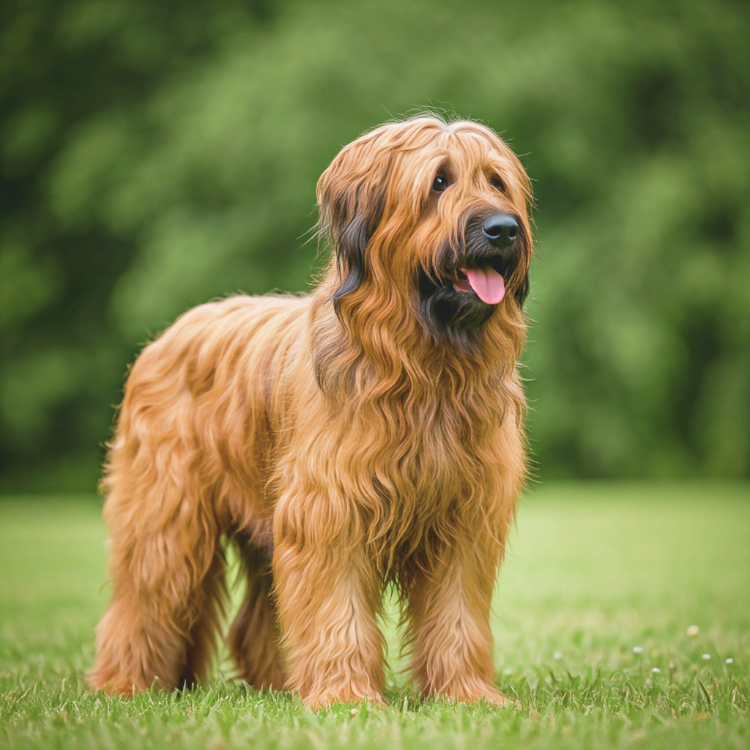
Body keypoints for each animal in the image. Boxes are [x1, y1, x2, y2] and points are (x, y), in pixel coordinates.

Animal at [89, 114, 536, 708]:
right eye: (439, 182)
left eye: (496, 181)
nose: (504, 230)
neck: (426, 368)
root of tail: (168, 333)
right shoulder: (329, 507)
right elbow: (334, 604)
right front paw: (345, 696)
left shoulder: (463, 517)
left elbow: (456, 612)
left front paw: (467, 694)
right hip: (166, 516)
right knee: (145, 598)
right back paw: (124, 683)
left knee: (256, 620)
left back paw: (278, 683)